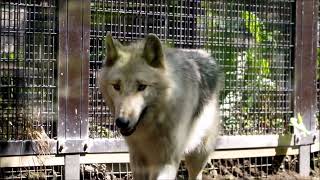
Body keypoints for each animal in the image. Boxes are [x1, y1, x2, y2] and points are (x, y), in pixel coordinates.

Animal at [98, 33, 222, 180]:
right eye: (116, 86)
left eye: (142, 86)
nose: (122, 122)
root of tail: (206, 55)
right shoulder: (138, 160)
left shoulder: (167, 162)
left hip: (198, 155)